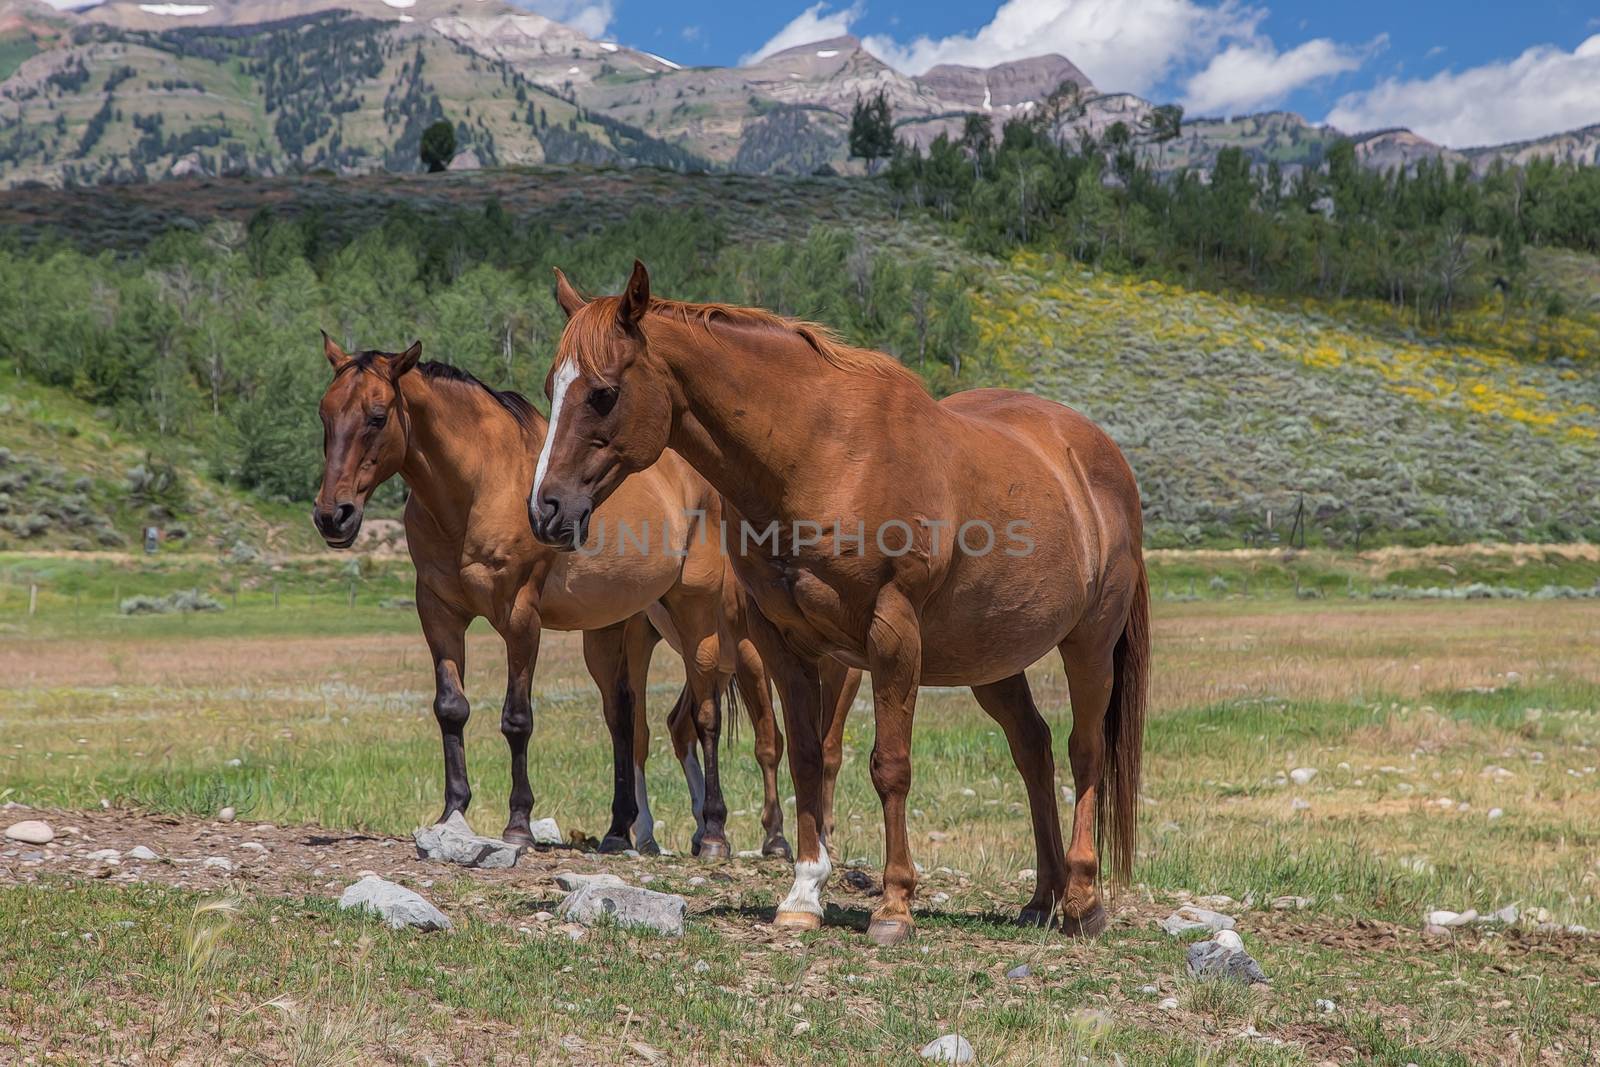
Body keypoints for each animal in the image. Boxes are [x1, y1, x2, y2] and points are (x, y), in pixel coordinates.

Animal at [310, 334, 806, 857]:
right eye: (325, 414)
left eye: (377, 416)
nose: (332, 516)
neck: (478, 486)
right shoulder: (438, 613)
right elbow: (451, 709)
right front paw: (453, 812)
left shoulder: (520, 618)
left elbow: (517, 718)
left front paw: (518, 824)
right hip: (612, 632)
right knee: (623, 719)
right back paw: (618, 830)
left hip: (699, 620)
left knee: (706, 716)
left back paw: (714, 833)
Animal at [531, 265, 1145, 940]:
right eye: (551, 387)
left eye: (603, 393)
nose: (546, 509)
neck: (821, 455)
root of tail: (1098, 456)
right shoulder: (783, 642)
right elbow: (803, 756)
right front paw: (803, 892)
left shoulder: (889, 636)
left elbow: (889, 765)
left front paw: (894, 904)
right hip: (993, 660)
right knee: (1033, 750)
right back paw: (1042, 898)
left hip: (1089, 642)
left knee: (1084, 752)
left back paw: (1082, 901)